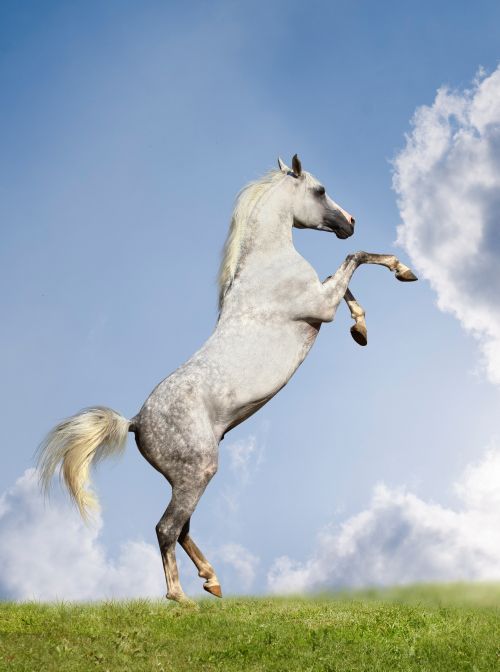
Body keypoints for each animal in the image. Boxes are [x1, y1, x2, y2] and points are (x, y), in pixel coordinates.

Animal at [38, 154, 417, 603]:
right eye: (320, 191)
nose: (351, 222)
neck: (267, 267)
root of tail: (135, 422)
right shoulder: (320, 306)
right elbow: (354, 260)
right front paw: (402, 272)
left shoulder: (323, 298)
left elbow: (345, 278)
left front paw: (361, 330)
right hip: (198, 473)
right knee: (167, 528)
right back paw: (181, 598)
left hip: (187, 479)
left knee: (183, 528)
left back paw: (212, 580)